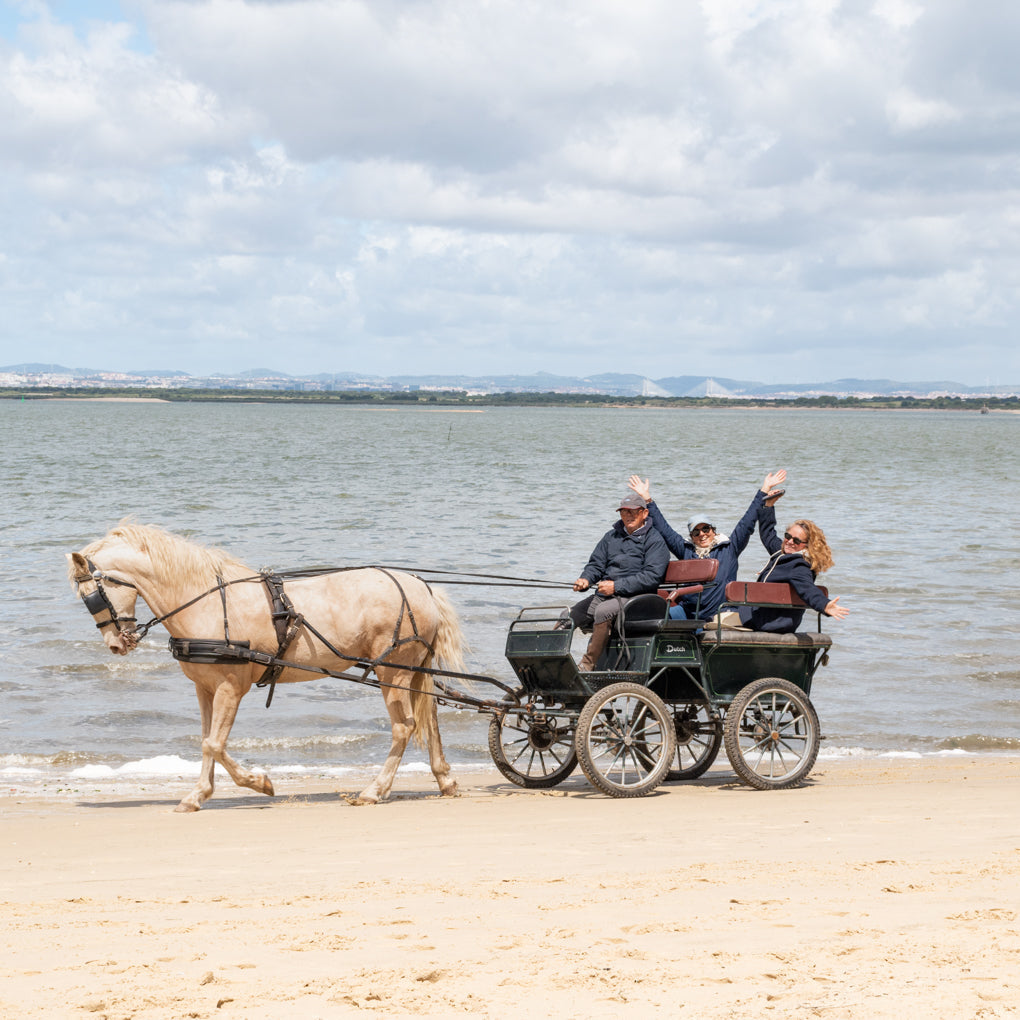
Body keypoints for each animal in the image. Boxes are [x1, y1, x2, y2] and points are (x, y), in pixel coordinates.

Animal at [67, 522, 466, 812]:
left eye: (92, 595)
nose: (117, 644)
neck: (207, 604)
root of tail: (421, 587)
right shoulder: (205, 687)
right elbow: (205, 740)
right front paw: (198, 795)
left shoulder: (231, 686)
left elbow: (215, 743)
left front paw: (258, 783)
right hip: (413, 671)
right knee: (429, 720)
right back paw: (444, 780)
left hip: (392, 671)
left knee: (404, 727)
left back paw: (374, 790)